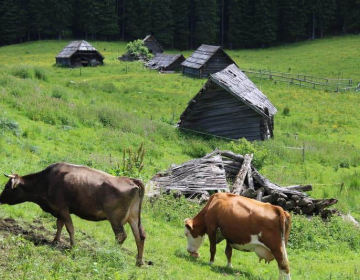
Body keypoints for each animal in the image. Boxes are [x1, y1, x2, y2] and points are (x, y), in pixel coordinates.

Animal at [0, 163, 146, 266]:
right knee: (139, 236)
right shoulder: (58, 209)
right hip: (133, 218)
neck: (48, 181)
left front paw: (72, 246)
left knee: (121, 236)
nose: (0, 199)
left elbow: (69, 227)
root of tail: (131, 180)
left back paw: (110, 252)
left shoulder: (63, 208)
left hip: (115, 218)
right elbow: (59, 225)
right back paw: (138, 262)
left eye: (7, 187)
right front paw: (55, 240)